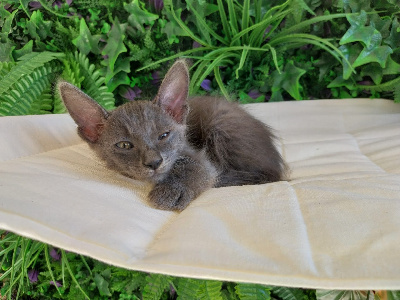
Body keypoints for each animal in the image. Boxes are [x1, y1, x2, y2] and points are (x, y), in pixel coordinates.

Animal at [57, 59, 286, 211]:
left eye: (164, 135)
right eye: (124, 145)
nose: (154, 162)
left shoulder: (203, 160)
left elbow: (197, 167)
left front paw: (173, 190)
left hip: (220, 123)